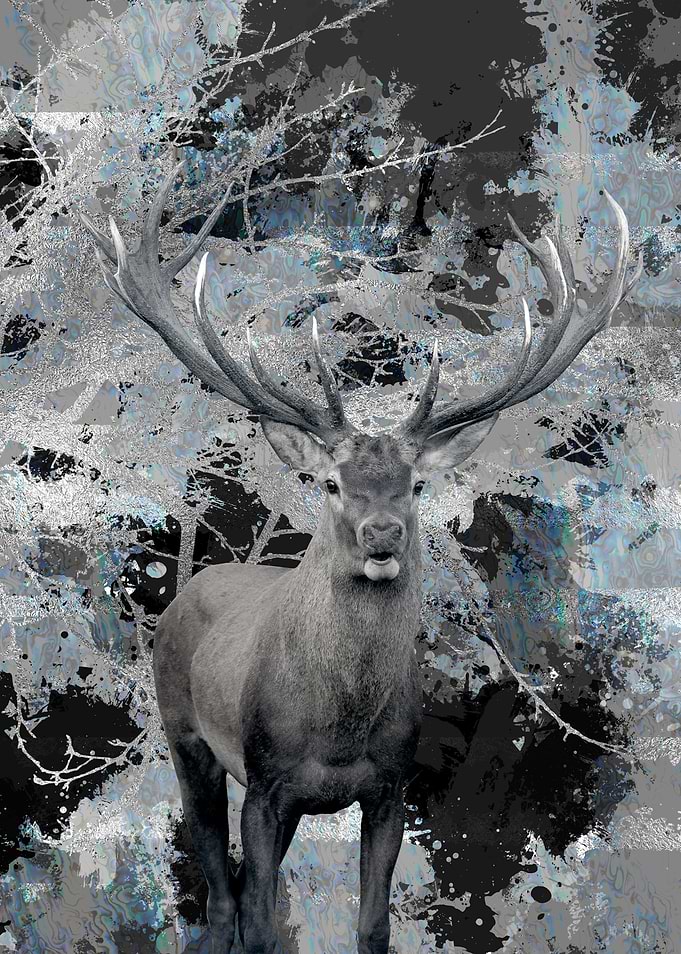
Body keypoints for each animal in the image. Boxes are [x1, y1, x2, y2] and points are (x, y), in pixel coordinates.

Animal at [81, 166, 641, 954]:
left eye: (416, 484)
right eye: (330, 482)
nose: (382, 536)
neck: (339, 733)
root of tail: (198, 582)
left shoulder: (390, 790)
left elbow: (372, 926)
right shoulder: (266, 782)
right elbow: (261, 923)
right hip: (183, 733)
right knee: (221, 896)